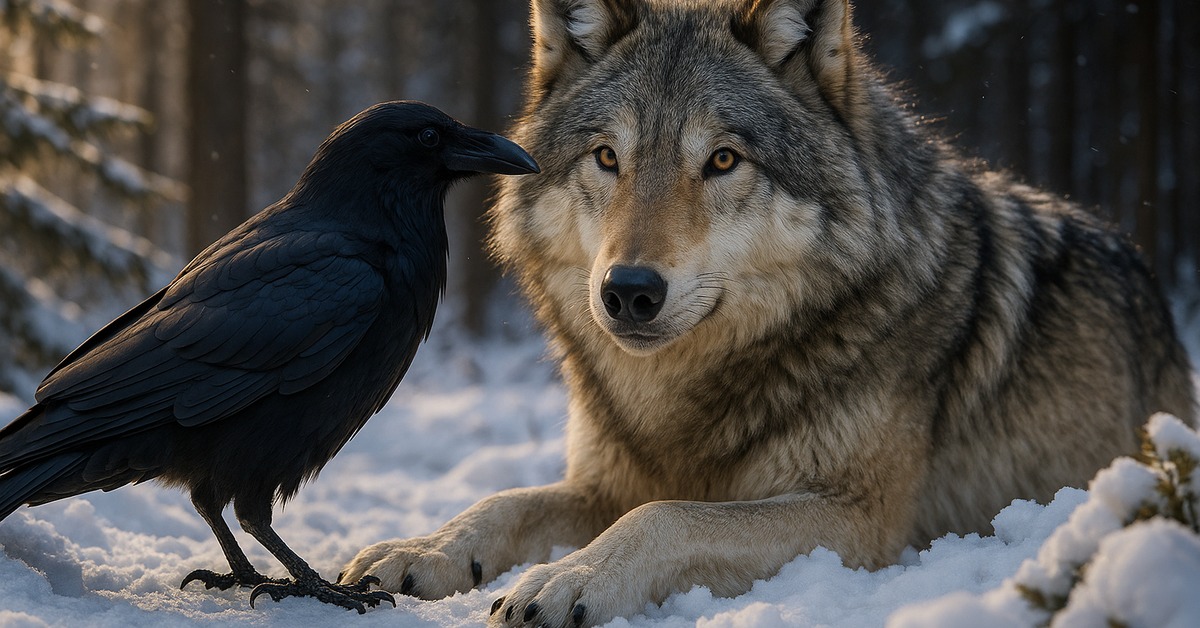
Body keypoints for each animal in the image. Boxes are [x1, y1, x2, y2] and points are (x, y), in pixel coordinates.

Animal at [341, 0, 1197, 625]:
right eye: (608, 158)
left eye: (723, 160)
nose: (628, 290)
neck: (689, 393)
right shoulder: (610, 479)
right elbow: (503, 502)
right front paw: (422, 549)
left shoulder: (859, 520)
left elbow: (663, 515)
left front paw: (566, 578)